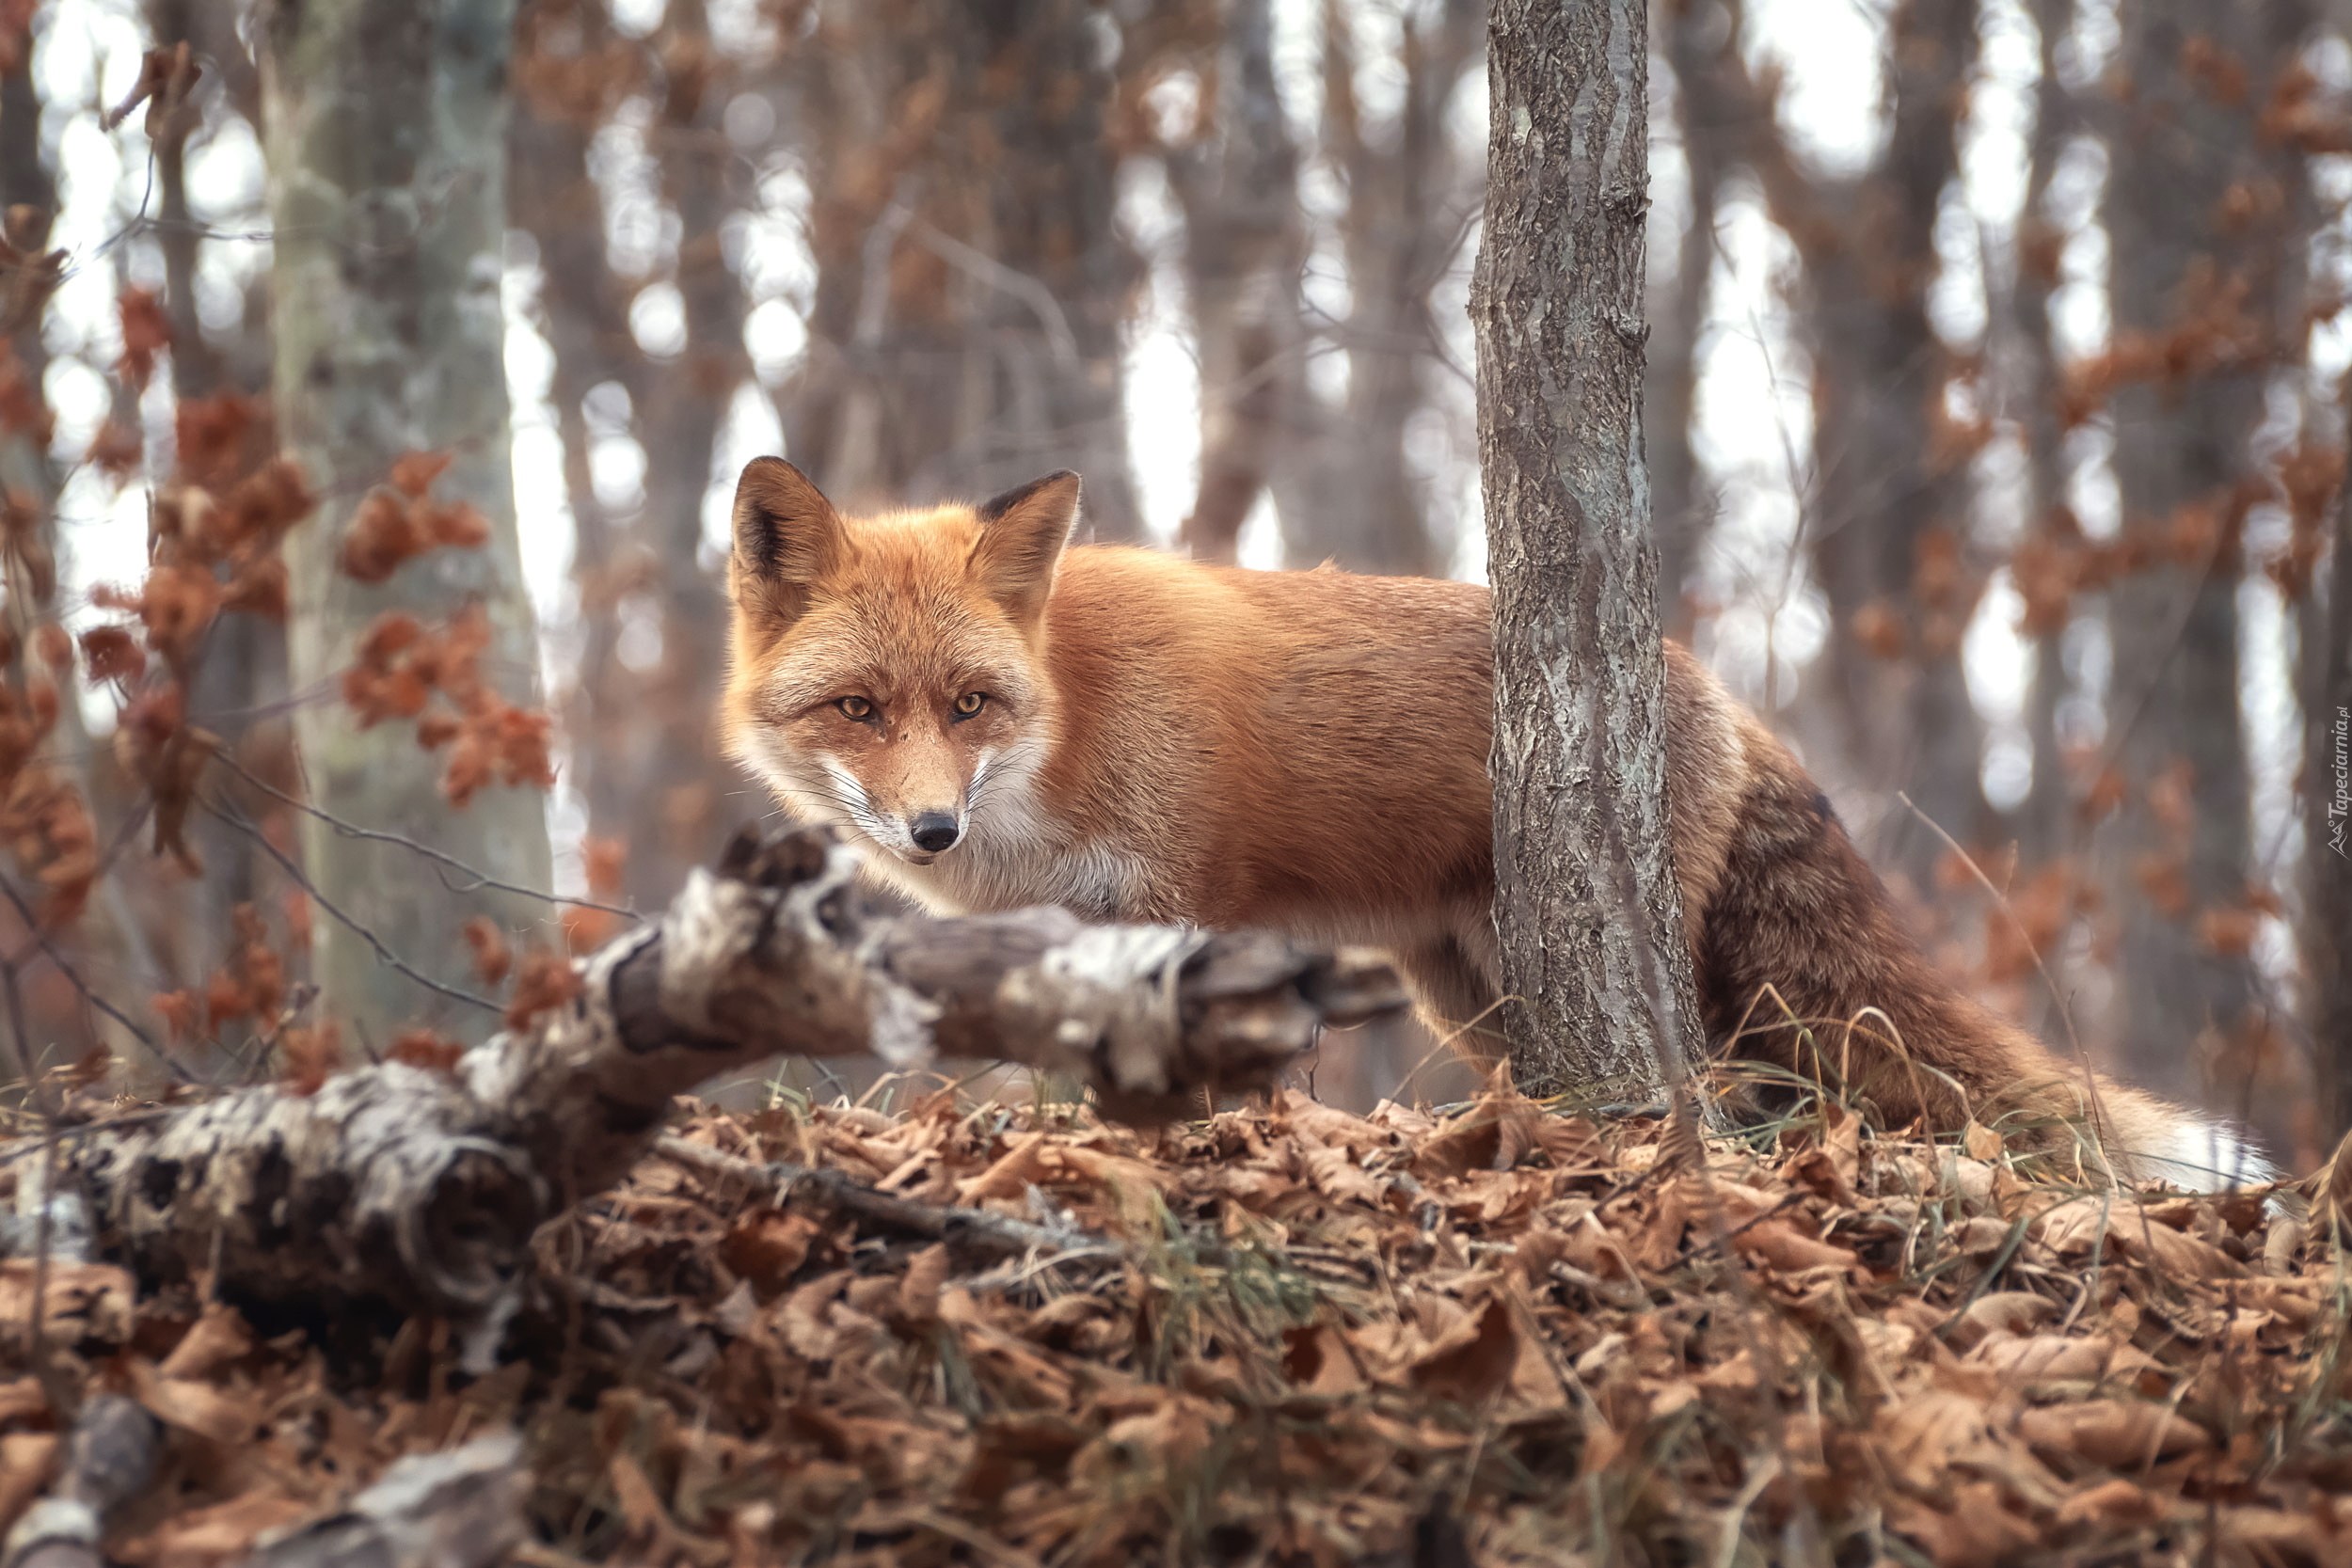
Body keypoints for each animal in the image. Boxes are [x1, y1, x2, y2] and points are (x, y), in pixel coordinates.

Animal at [720, 460, 2277, 1194]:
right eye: (858, 707)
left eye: (969, 702)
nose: (927, 829)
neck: (1070, 719)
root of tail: (1707, 677)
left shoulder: (1175, 900)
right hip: (1476, 998)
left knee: (1750, 1094)